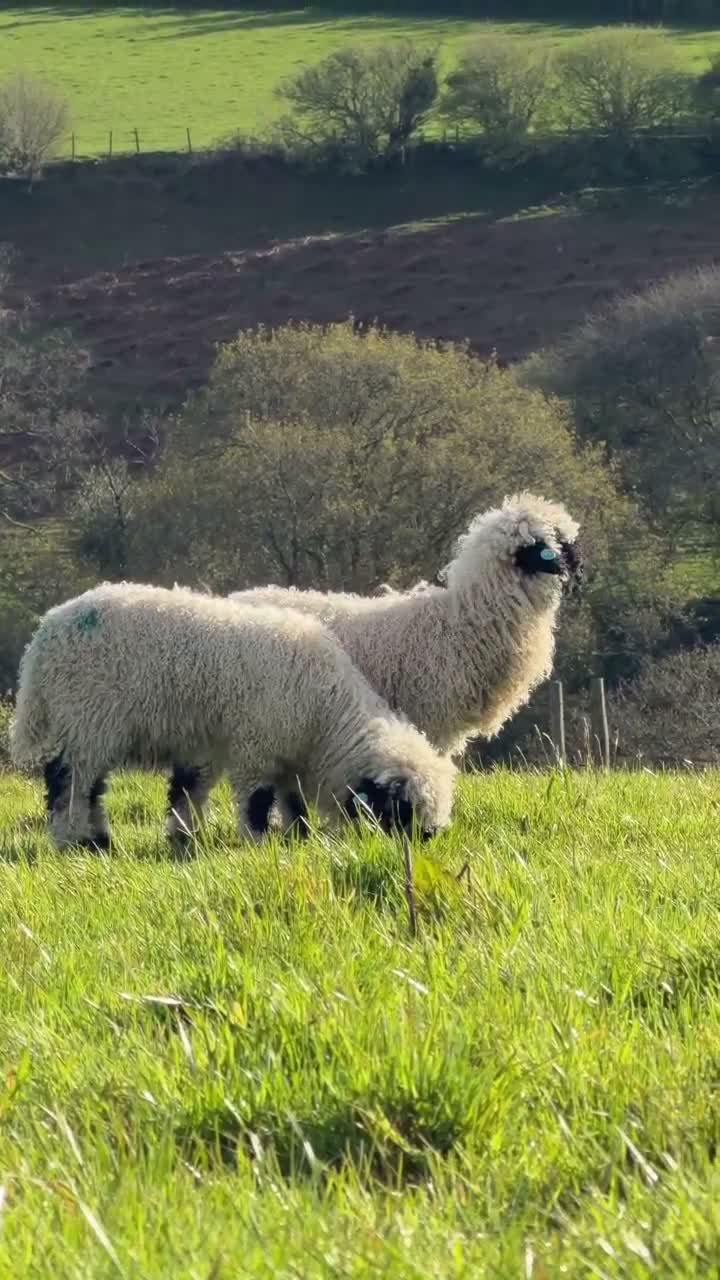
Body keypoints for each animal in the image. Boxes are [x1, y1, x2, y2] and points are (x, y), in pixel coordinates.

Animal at [10, 582, 456, 851]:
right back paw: (76, 841)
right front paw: (259, 845)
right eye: (402, 809)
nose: (430, 839)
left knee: (90, 785)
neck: (325, 718)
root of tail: (45, 635)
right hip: (88, 717)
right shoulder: (256, 744)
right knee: (69, 781)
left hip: (92, 726)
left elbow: (279, 799)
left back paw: (98, 839)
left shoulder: (270, 748)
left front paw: (296, 839)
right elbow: (256, 800)